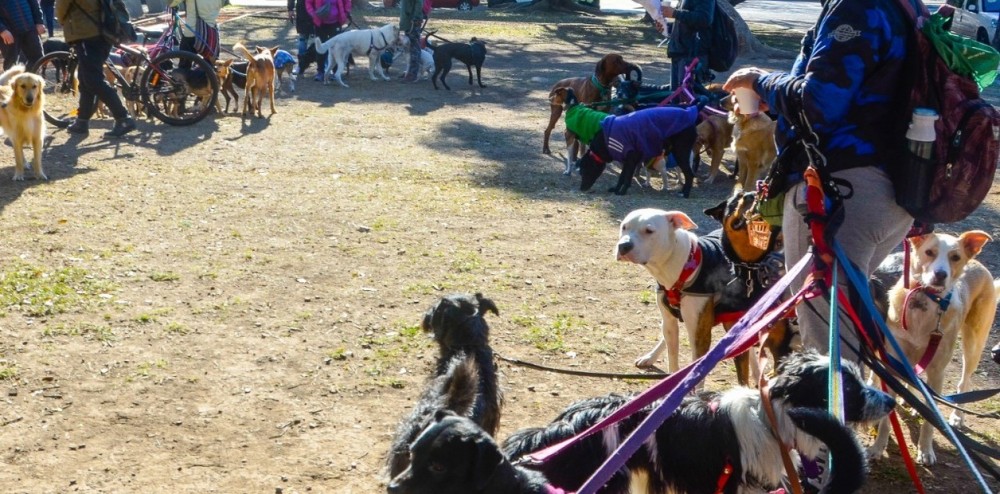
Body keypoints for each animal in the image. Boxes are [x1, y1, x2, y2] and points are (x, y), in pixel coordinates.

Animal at [868, 230, 1000, 466]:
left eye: (955, 257)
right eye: (929, 252)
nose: (940, 275)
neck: (923, 302)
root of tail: (978, 264)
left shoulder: (937, 372)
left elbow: (931, 418)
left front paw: (926, 450)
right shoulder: (893, 362)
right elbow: (887, 418)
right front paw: (877, 447)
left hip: (974, 344)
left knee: (963, 382)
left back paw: (956, 417)